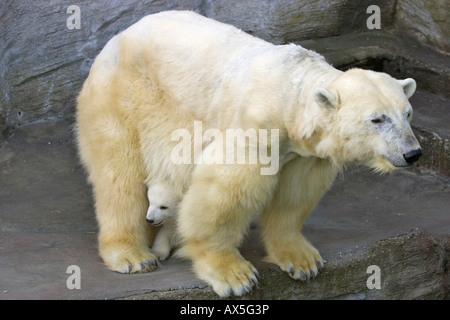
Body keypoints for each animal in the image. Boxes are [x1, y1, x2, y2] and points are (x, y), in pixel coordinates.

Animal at [74, 11, 422, 298]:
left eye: (407, 113)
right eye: (377, 119)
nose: (412, 153)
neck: (290, 94)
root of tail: (119, 36)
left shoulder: (303, 154)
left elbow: (295, 195)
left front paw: (302, 261)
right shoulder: (255, 128)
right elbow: (226, 190)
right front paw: (234, 275)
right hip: (124, 95)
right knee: (119, 174)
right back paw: (133, 255)